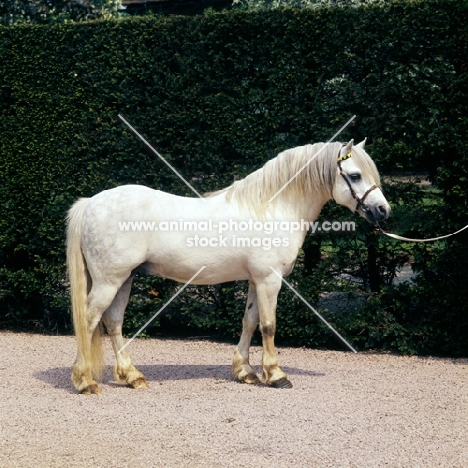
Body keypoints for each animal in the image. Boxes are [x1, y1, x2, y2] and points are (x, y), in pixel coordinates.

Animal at [66, 140, 388, 394]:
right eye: (355, 175)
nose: (383, 210)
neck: (272, 208)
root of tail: (91, 203)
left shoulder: (256, 281)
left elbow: (250, 322)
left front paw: (245, 371)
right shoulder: (269, 280)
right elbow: (269, 326)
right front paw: (276, 375)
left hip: (124, 279)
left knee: (113, 322)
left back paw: (131, 376)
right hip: (110, 281)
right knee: (89, 319)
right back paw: (85, 381)